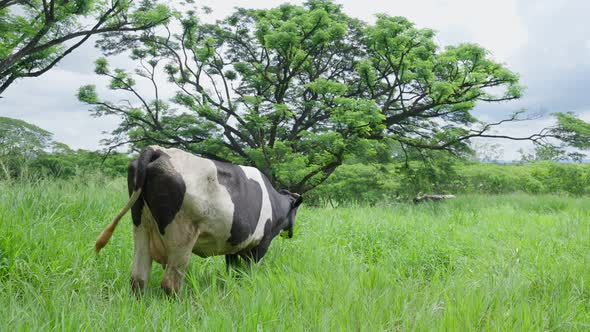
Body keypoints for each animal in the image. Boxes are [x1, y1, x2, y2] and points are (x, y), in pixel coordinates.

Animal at [96, 146, 306, 296]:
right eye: (296, 211)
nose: (291, 233)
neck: (275, 203)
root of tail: (158, 150)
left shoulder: (233, 245)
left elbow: (233, 270)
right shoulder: (261, 243)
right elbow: (250, 271)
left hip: (141, 227)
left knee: (138, 279)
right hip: (181, 235)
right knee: (170, 283)